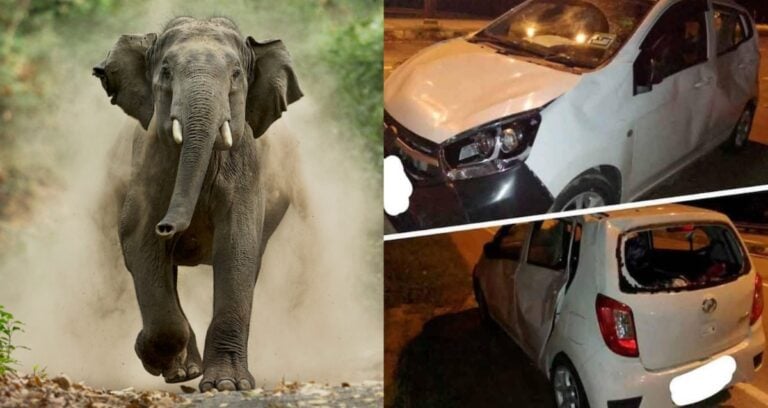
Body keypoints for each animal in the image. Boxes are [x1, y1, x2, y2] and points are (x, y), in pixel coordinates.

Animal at [92, 16, 302, 392]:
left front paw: (227, 385)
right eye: (165, 71)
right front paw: (152, 357)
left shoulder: (246, 167)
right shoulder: (147, 163)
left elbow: (238, 248)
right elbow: (138, 238)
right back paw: (182, 370)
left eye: (236, 74)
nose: (168, 225)